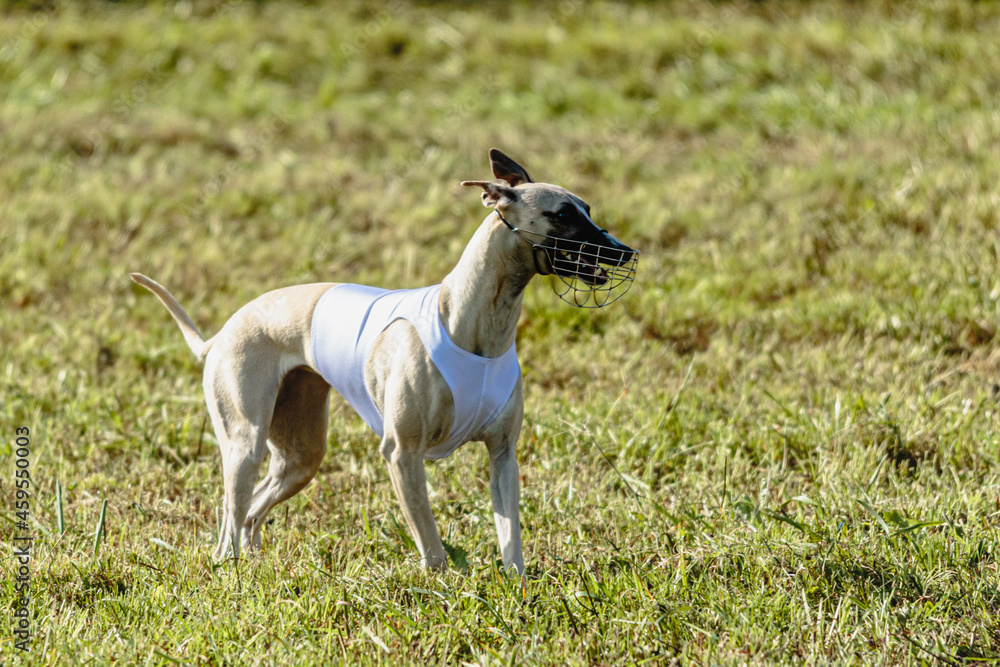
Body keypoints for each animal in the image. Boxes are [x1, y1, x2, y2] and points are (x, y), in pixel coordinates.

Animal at [133, 150, 636, 576]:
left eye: (587, 208)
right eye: (564, 213)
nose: (626, 250)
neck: (475, 326)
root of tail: (221, 333)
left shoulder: (503, 455)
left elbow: (510, 535)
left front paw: (518, 590)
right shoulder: (402, 453)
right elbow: (431, 543)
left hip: (300, 455)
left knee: (254, 511)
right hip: (244, 441)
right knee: (231, 517)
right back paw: (230, 567)